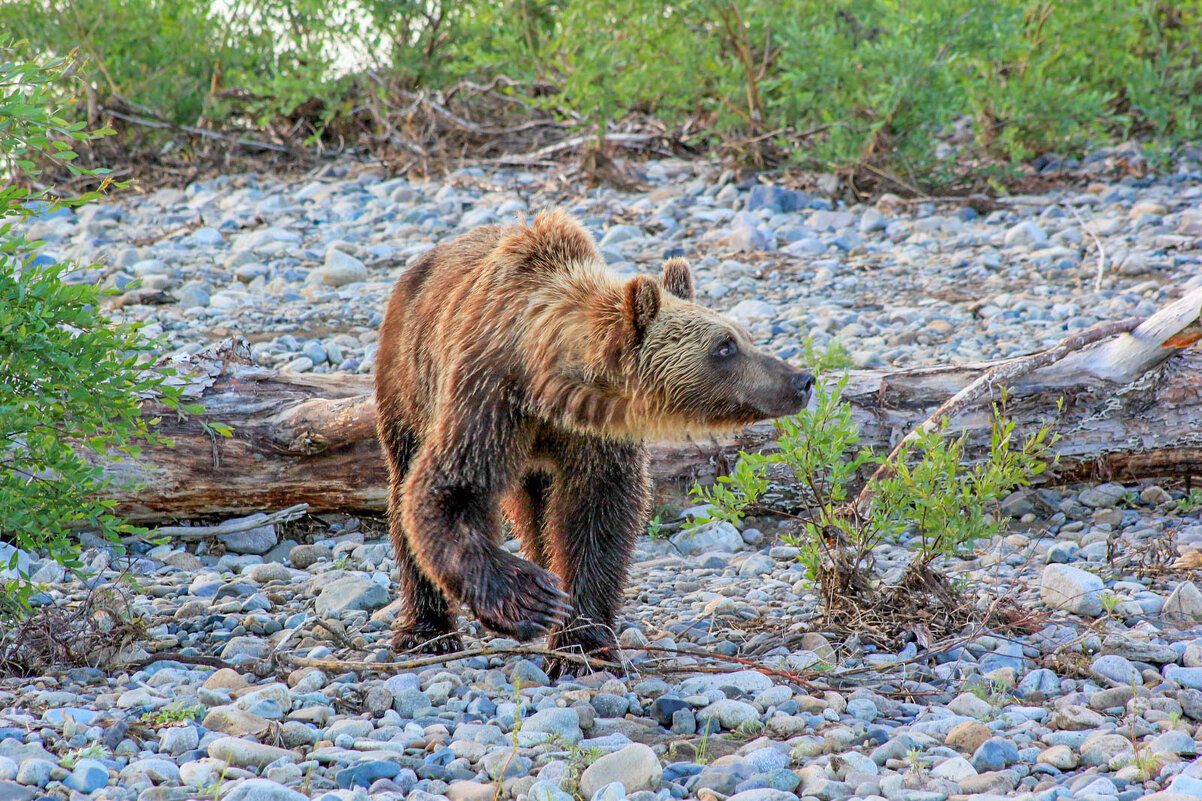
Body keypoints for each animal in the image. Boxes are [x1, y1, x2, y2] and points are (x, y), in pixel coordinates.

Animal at [372, 209, 807, 659]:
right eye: (724, 346)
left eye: (745, 337)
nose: (801, 380)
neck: (546, 390)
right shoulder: (485, 398)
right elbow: (449, 490)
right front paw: (531, 600)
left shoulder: (597, 432)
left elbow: (599, 514)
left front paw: (581, 643)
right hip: (406, 380)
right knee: (403, 485)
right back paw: (426, 630)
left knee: (536, 509)